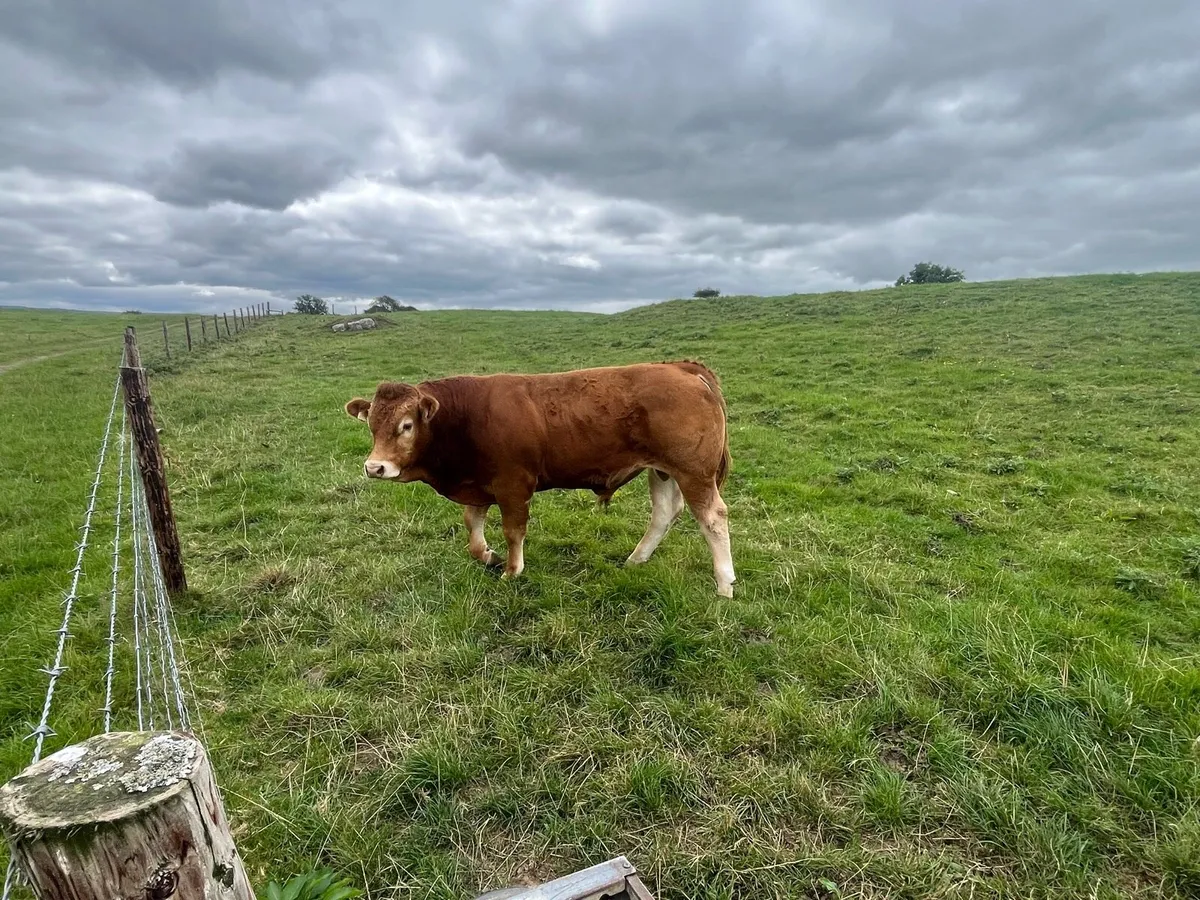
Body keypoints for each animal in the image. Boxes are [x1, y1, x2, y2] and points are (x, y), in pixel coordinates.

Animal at [344, 360, 737, 596]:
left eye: (406, 425)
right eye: (371, 423)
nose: (374, 467)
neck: (465, 417)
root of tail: (682, 368)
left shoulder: (513, 484)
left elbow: (513, 530)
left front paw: (512, 570)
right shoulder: (478, 484)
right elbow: (473, 527)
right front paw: (488, 556)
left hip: (693, 472)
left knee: (713, 518)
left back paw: (724, 584)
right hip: (663, 471)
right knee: (664, 513)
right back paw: (636, 560)